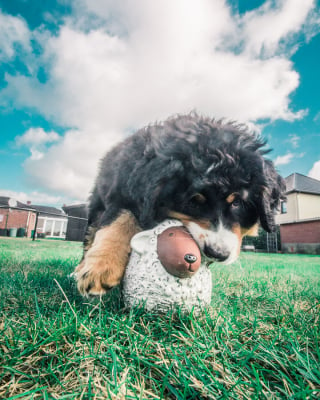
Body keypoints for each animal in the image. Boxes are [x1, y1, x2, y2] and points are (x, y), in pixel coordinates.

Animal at [75, 112, 284, 296]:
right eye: (193, 201)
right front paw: (101, 268)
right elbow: (118, 221)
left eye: (238, 203)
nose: (217, 253)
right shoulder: (123, 194)